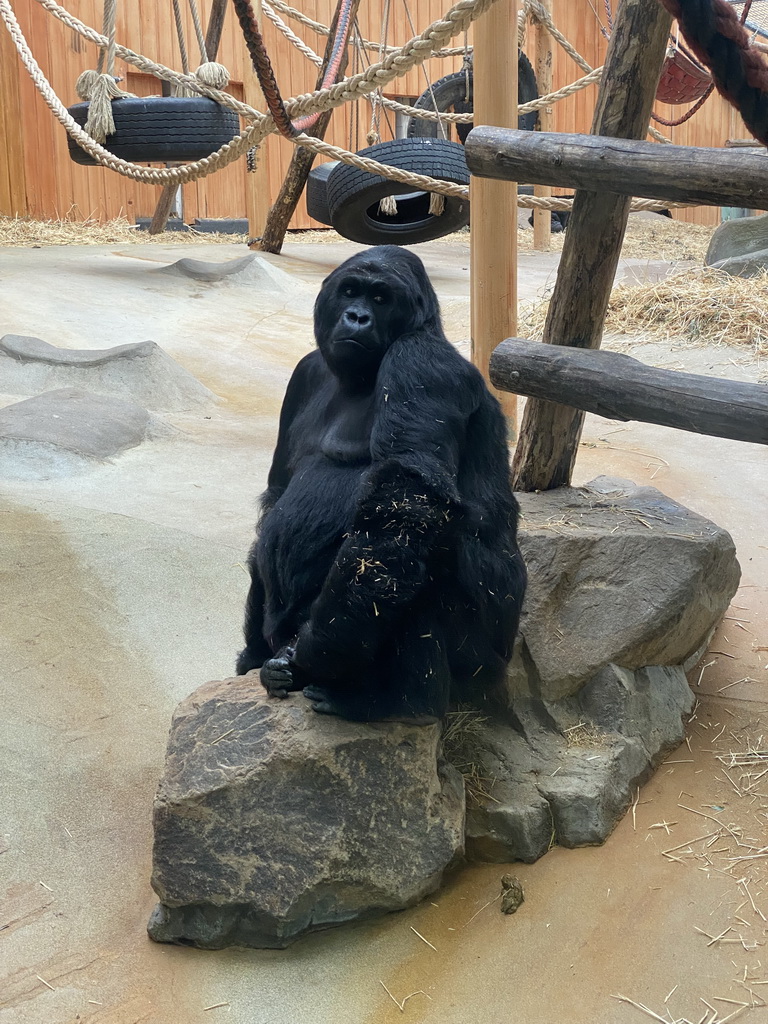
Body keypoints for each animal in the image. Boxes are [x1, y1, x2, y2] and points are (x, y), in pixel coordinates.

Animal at [237, 246, 528, 724]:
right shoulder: (305, 372)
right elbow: (276, 497)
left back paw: (396, 701)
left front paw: (315, 653)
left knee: (425, 547)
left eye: (380, 298)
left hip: (489, 656)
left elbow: (404, 498)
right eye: (350, 291)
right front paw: (254, 654)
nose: (357, 317)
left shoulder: (419, 360)